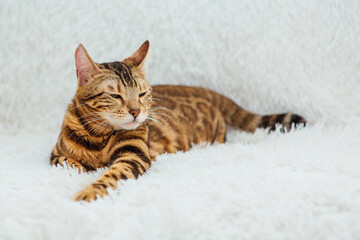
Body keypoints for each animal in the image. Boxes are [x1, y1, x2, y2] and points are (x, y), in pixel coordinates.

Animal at [49, 40, 306, 202]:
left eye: (142, 94)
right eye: (115, 96)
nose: (136, 112)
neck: (98, 136)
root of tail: (203, 91)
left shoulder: (134, 156)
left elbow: (110, 175)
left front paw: (89, 191)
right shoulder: (56, 155)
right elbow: (69, 163)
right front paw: (84, 170)